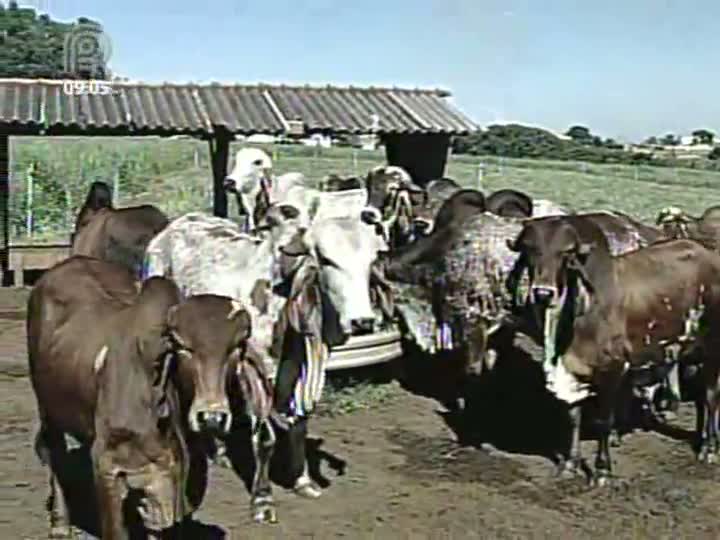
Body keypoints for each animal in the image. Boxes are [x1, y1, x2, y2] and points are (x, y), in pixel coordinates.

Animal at [29, 258, 190, 540]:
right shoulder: (106, 466)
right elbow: (114, 529)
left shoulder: (167, 480)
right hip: (46, 407)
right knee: (55, 453)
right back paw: (60, 524)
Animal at [506, 221, 720, 484]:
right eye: (530, 249)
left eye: (566, 253)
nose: (543, 293)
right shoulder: (572, 371)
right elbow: (573, 418)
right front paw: (570, 464)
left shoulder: (612, 370)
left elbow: (604, 422)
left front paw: (602, 471)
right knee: (701, 399)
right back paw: (700, 440)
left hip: (712, 347)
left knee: (710, 397)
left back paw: (709, 448)